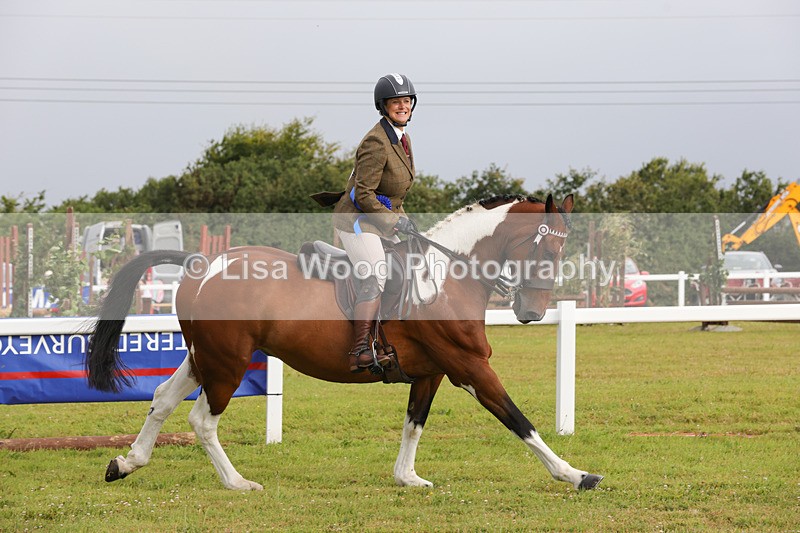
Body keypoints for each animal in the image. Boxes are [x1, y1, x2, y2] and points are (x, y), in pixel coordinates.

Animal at [85, 193, 604, 492]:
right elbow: (519, 420)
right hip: (227, 361)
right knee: (202, 419)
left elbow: (414, 423)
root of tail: (202, 262)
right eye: (550, 247)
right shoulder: (469, 367)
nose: (532, 312)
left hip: (203, 356)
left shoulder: (432, 371)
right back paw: (237, 482)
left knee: (162, 398)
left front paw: (406, 477)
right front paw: (576, 475)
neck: (448, 276)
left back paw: (126, 462)